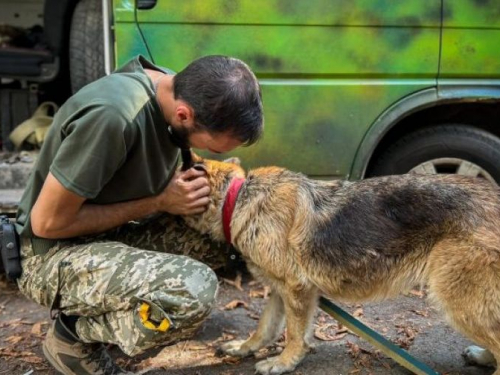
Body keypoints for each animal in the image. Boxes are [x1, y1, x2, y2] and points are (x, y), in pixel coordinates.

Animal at [184, 157, 500, 374]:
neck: (238, 197)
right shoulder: (280, 289)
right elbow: (265, 326)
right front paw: (245, 348)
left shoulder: (296, 289)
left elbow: (294, 334)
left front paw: (285, 362)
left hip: (457, 299)